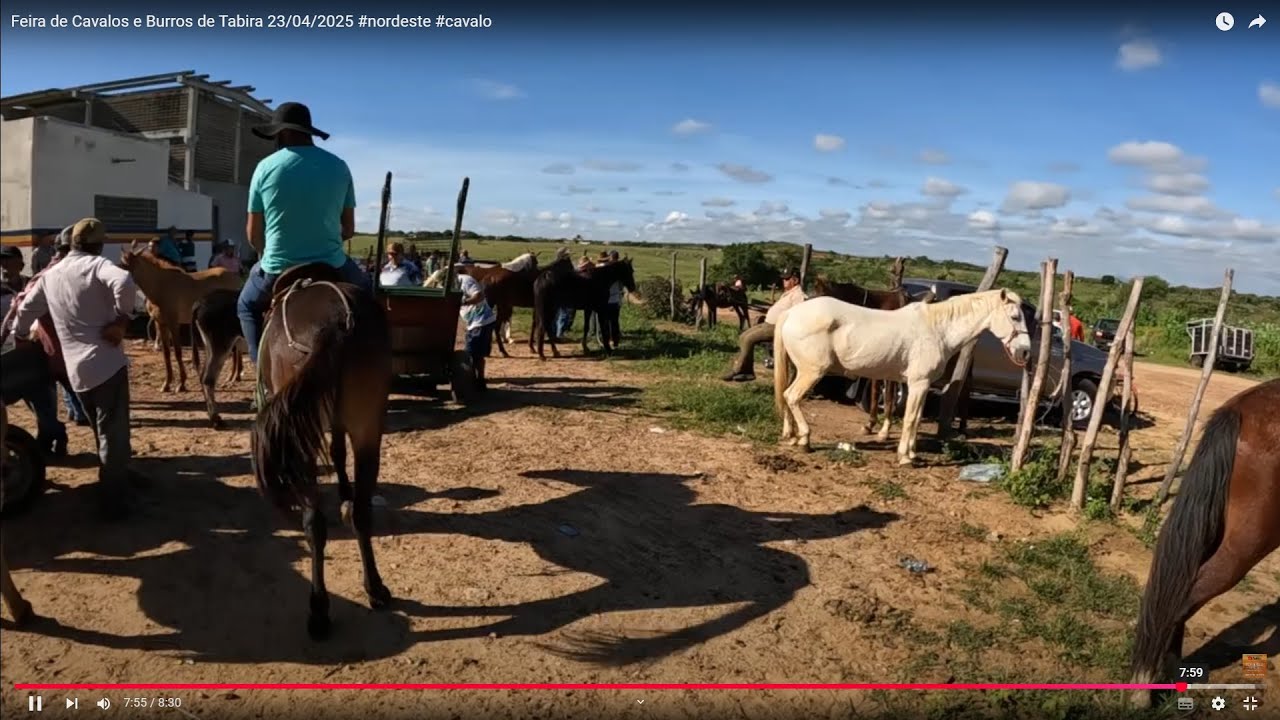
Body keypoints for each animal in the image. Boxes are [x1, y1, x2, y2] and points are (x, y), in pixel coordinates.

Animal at [119, 243, 240, 392]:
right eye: (121, 263)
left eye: (127, 265)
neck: (160, 286)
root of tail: (236, 278)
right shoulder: (161, 324)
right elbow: (166, 353)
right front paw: (166, 384)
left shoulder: (173, 323)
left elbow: (178, 352)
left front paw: (181, 384)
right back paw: (234, 376)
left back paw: (233, 377)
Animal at [192, 288, 247, 429]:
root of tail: (200, 302)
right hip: (220, 347)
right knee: (208, 379)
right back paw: (216, 420)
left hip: (211, 348)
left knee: (203, 377)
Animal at [250, 263, 394, 640]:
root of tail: (333, 323)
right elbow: (339, 452)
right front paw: (344, 492)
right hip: (368, 427)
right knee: (361, 513)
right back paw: (374, 587)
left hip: (302, 443)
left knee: (314, 523)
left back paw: (318, 610)